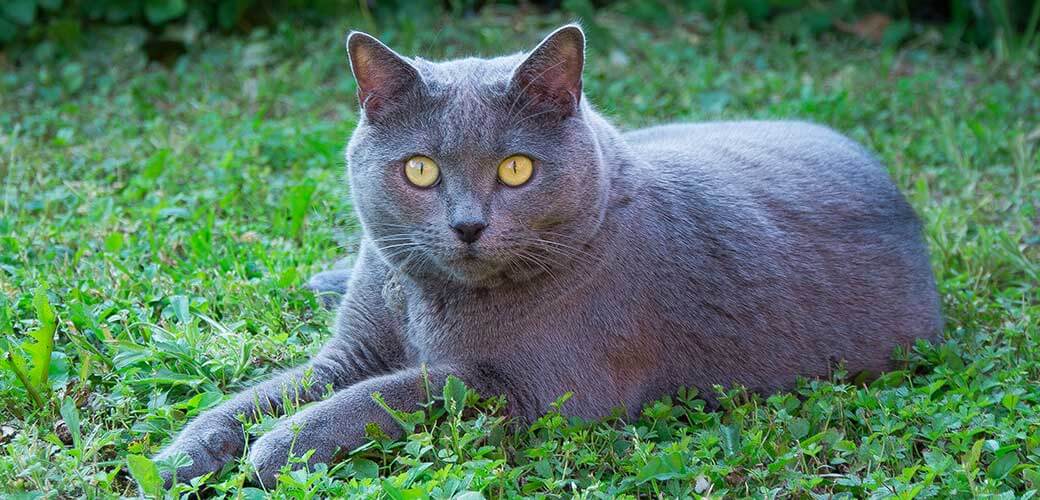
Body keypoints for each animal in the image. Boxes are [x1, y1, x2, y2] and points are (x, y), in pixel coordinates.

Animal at [153, 24, 944, 486]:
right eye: (419, 170)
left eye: (515, 170)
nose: (468, 225)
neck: (428, 299)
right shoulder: (349, 351)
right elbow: (260, 395)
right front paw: (180, 454)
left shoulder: (532, 391)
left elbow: (398, 391)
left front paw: (278, 450)